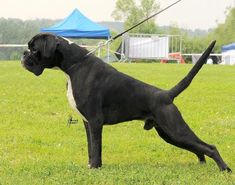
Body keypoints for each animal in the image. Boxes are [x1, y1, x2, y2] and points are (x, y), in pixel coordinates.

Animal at [21, 33, 231, 172]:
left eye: (34, 48)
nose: (23, 54)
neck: (74, 64)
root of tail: (166, 95)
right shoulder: (87, 123)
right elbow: (90, 148)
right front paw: (90, 165)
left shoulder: (95, 122)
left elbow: (96, 148)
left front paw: (95, 168)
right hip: (169, 134)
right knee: (198, 147)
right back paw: (202, 163)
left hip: (175, 130)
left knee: (210, 147)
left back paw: (225, 169)